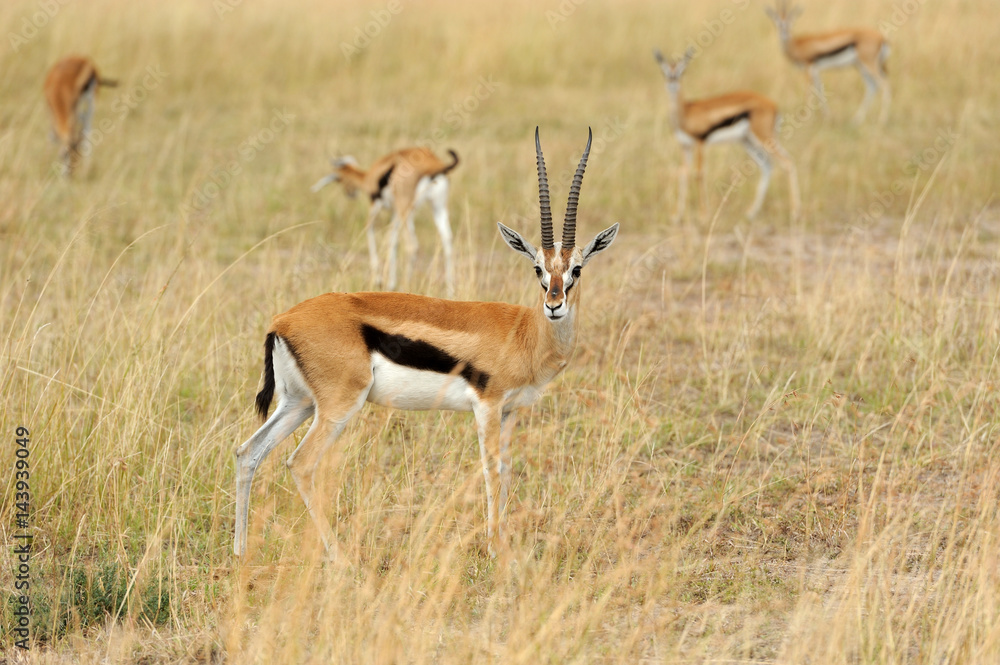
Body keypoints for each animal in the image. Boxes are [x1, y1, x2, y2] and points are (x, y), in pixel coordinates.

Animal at [312, 147, 460, 297]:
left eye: (340, 179)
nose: (350, 194)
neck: (369, 176)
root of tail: (433, 166)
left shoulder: (376, 204)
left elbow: (369, 229)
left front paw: (379, 280)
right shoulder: (394, 213)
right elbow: (392, 240)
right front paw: (391, 283)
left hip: (406, 210)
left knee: (412, 245)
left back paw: (406, 287)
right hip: (438, 208)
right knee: (447, 240)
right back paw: (450, 291)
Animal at [654, 48, 800, 221]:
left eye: (682, 71)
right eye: (663, 71)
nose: (672, 83)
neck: (686, 112)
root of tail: (772, 105)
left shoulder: (700, 142)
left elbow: (699, 174)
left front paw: (703, 216)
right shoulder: (685, 146)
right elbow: (683, 174)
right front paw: (677, 216)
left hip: (763, 139)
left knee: (787, 162)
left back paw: (795, 213)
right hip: (748, 142)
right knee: (767, 166)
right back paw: (751, 213)